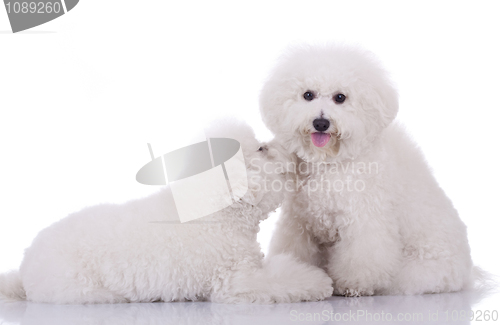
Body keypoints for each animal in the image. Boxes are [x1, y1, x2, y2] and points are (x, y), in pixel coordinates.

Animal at [0, 119, 336, 304]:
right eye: (262, 149)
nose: (290, 150)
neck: (218, 214)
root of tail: (25, 268)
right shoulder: (236, 281)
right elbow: (284, 280)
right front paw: (318, 283)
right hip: (72, 286)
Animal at [262, 43, 476, 296]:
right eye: (308, 95)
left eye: (340, 98)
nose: (321, 123)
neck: (330, 163)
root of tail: (466, 273)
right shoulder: (299, 223)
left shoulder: (365, 219)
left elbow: (363, 257)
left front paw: (353, 285)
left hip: (417, 271)